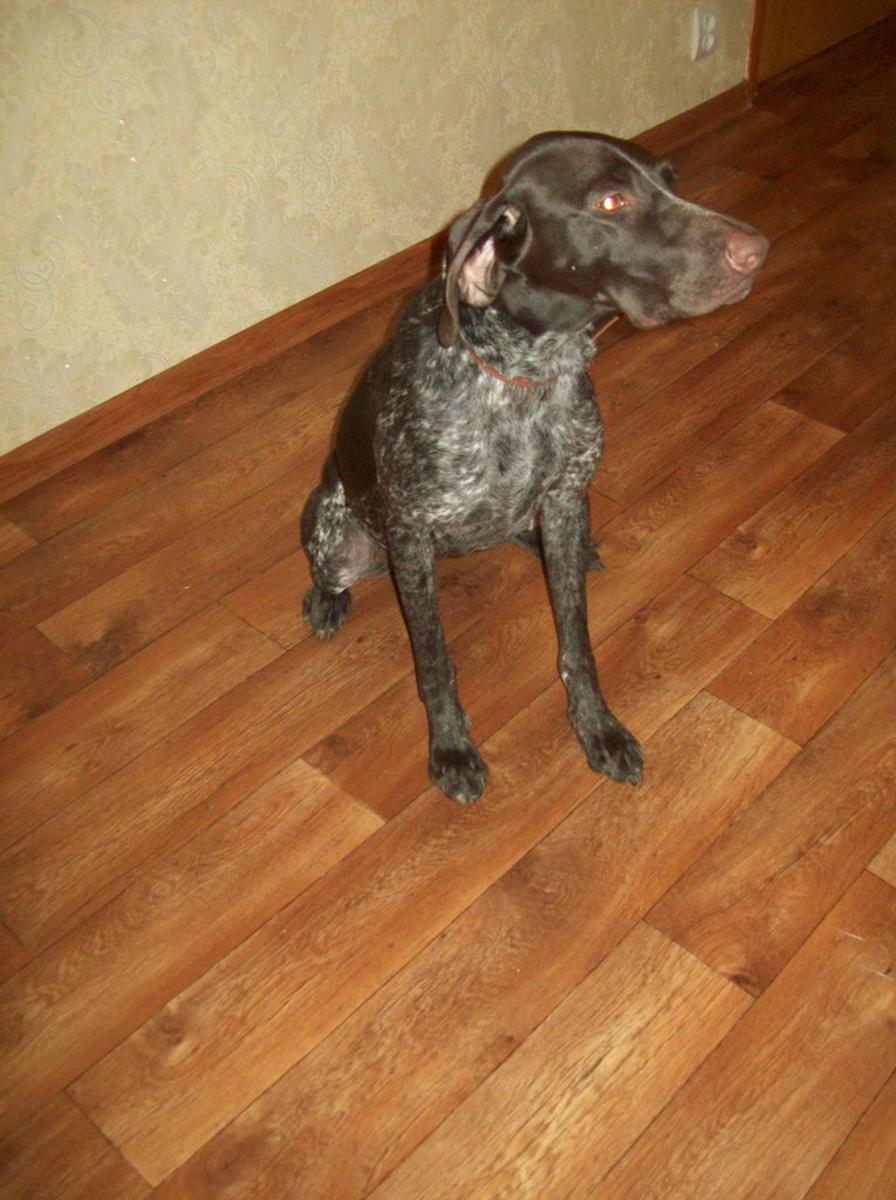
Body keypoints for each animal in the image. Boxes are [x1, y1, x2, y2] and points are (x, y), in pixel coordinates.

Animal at [301, 131, 768, 803]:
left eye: (670, 181)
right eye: (609, 201)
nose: (757, 251)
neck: (521, 378)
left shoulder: (568, 498)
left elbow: (577, 645)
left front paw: (597, 727)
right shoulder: (411, 535)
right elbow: (435, 661)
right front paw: (451, 747)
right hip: (339, 534)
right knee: (327, 570)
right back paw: (326, 601)